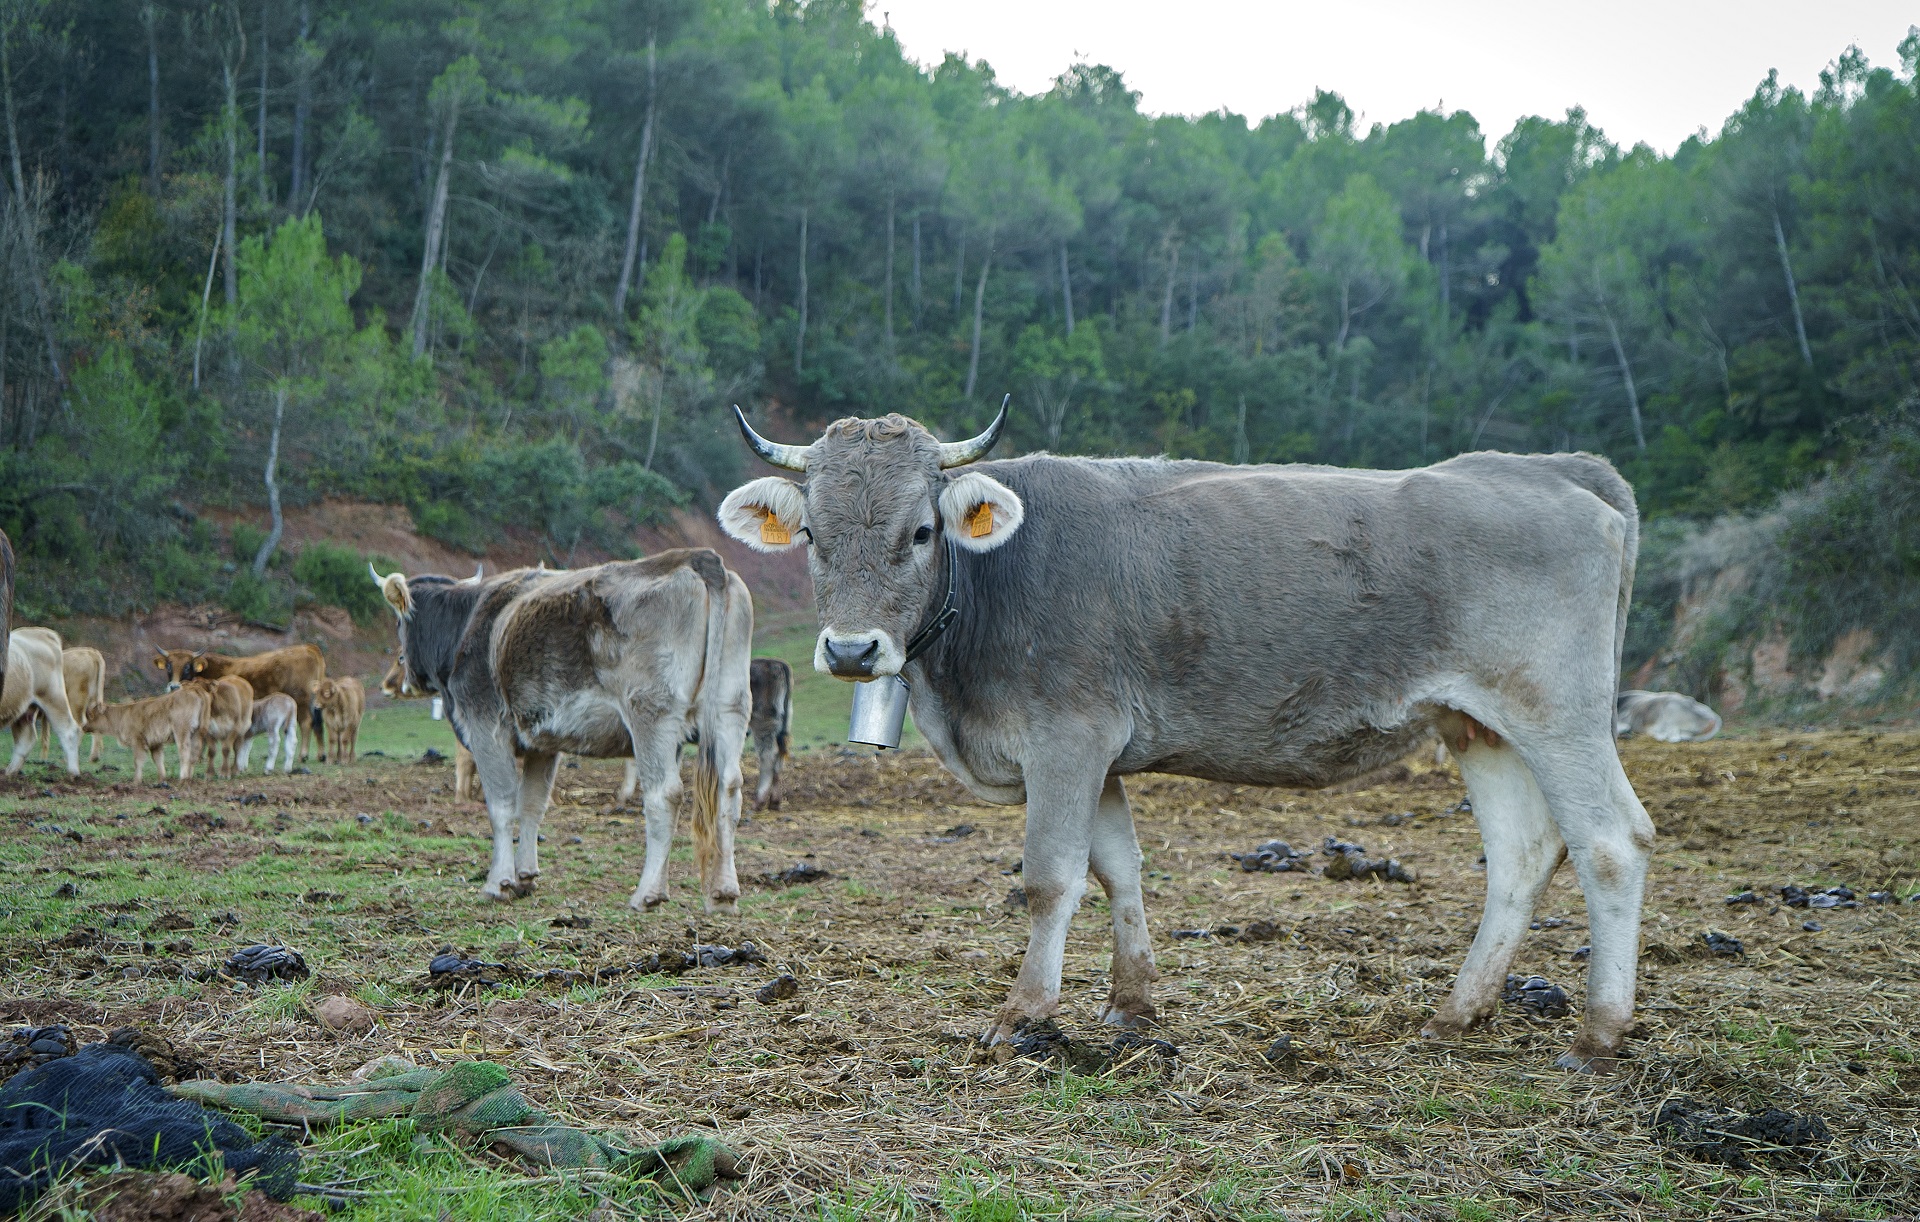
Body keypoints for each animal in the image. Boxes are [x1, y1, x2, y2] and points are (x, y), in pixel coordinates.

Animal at [2, 630, 80, 772]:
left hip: (53, 697)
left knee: (69, 730)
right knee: (26, 738)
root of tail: (41, 631)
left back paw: (73, 772)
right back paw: (9, 773)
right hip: (23, 706)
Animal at [155, 645, 328, 760]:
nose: (174, 686)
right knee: (318, 723)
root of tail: (308, 648)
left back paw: (303, 754)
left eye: (187, 666)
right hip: (315, 702)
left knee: (306, 723)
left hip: (302, 701)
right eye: (169, 665)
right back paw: (321, 755)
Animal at [370, 549, 752, 910]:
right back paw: (724, 892)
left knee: (666, 794)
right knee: (729, 790)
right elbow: (532, 805)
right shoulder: (542, 743)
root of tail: (695, 557)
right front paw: (524, 876)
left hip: (651, 713)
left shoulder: (485, 726)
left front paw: (498, 883)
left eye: (399, 622)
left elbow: (502, 805)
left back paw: (648, 893)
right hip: (730, 709)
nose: (397, 679)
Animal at [721, 403, 1651, 1068]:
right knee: (1522, 852)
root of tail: (1551, 469)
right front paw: (1130, 1005)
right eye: (813, 534)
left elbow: (1050, 877)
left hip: (1557, 713)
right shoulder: (1098, 751)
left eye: (920, 531)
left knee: (1611, 842)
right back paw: (1457, 1012)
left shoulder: (1066, 738)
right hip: (1480, 724)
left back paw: (1598, 1035)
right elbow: (1118, 867)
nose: (851, 650)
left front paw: (1023, 1013)